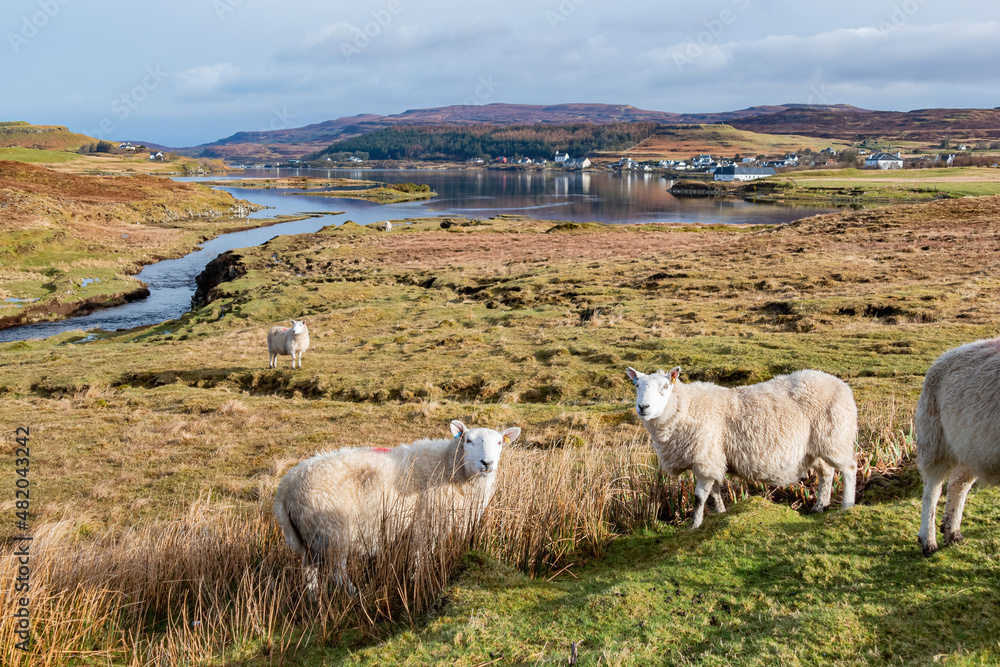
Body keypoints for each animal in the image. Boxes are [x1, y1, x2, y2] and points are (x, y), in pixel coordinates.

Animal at [272, 420, 520, 596]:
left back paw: (314, 599)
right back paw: (356, 596)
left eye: (500, 443)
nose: (487, 463)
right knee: (337, 574)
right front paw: (416, 581)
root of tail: (286, 488)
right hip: (333, 533)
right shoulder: (424, 525)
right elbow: (420, 558)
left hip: (308, 539)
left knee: (309, 571)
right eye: (468, 440)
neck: (450, 466)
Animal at [626, 366, 857, 529]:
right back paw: (820, 506)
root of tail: (841, 385)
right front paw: (720, 513)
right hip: (816, 447)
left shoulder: (705, 457)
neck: (687, 407)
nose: (643, 407)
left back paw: (847, 505)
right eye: (636, 386)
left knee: (850, 468)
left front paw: (694, 525)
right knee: (826, 472)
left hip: (835, 438)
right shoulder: (713, 458)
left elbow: (700, 497)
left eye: (665, 387)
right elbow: (715, 492)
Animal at [915, 337, 1000, 556]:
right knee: (932, 490)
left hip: (971, 448)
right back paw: (928, 540)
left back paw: (952, 531)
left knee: (957, 483)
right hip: (935, 439)